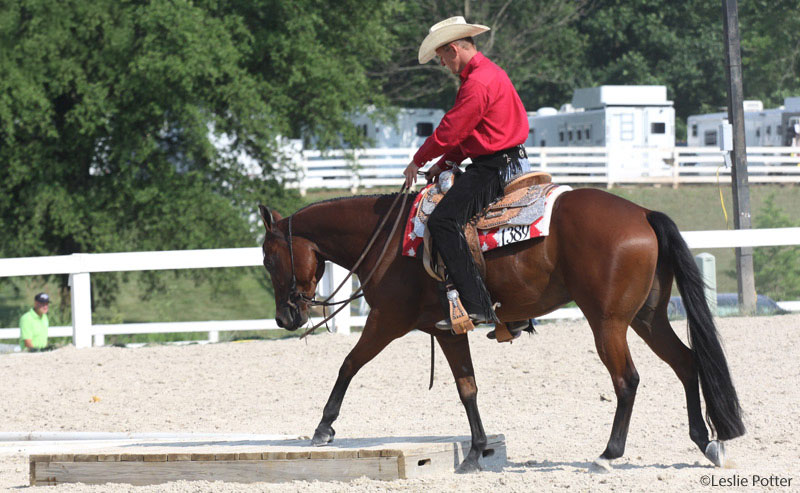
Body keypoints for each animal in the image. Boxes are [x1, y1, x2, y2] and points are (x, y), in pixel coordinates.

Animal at [260, 186, 748, 470]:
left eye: (267, 258)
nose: (286, 318)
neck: (387, 238)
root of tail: (644, 213)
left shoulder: (386, 321)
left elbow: (348, 364)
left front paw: (323, 428)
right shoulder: (447, 330)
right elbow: (467, 388)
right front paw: (476, 451)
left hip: (608, 323)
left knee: (627, 380)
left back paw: (609, 454)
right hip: (648, 318)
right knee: (687, 363)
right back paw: (705, 441)